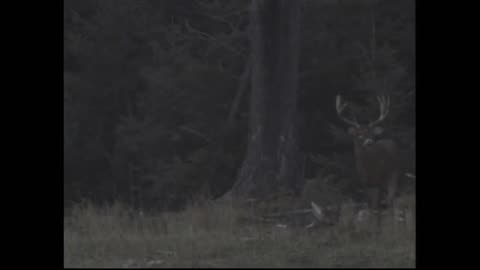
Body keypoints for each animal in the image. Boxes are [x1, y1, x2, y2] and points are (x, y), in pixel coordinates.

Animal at [336, 95, 400, 228]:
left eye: (372, 134)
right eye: (359, 135)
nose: (369, 142)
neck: (369, 168)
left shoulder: (379, 180)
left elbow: (377, 208)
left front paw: (378, 229)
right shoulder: (364, 183)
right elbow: (370, 207)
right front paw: (371, 227)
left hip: (394, 174)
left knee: (391, 200)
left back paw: (393, 226)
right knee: (388, 200)